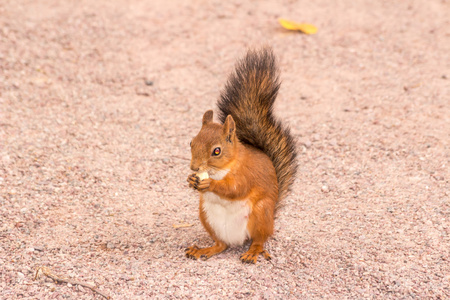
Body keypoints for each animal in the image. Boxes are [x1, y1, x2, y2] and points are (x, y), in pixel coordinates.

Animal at [185, 48, 298, 264]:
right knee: (221, 245)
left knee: (260, 239)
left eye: (217, 151)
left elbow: (235, 188)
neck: (222, 169)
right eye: (191, 143)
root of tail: (238, 239)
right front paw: (190, 180)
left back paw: (253, 252)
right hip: (206, 216)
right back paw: (204, 250)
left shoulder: (247, 174)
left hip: (261, 214)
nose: (194, 168)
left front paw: (210, 184)